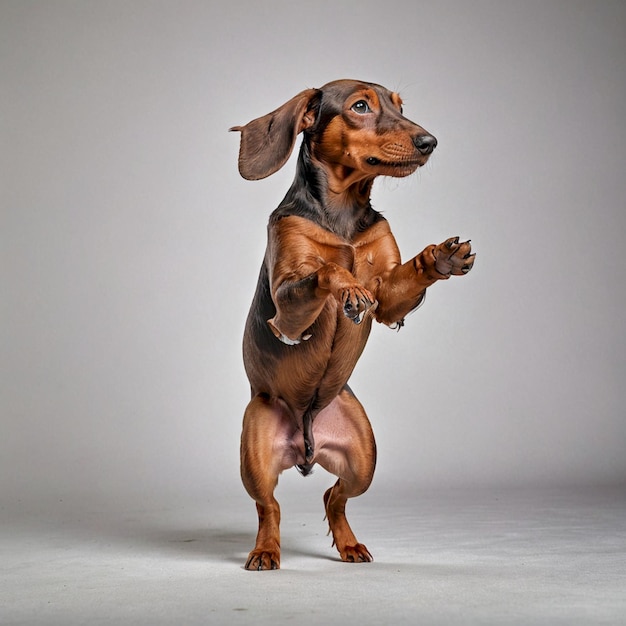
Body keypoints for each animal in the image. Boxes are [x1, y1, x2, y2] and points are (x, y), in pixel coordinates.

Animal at [230, 77, 472, 564]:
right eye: (360, 107)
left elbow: (399, 280)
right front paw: (346, 285)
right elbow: (325, 269)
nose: (430, 142)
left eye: (401, 107)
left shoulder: (391, 300)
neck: (342, 213)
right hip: (255, 448)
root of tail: (304, 444)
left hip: (364, 456)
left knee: (333, 496)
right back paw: (265, 551)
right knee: (270, 506)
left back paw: (349, 545)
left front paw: (440, 258)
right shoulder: (287, 313)